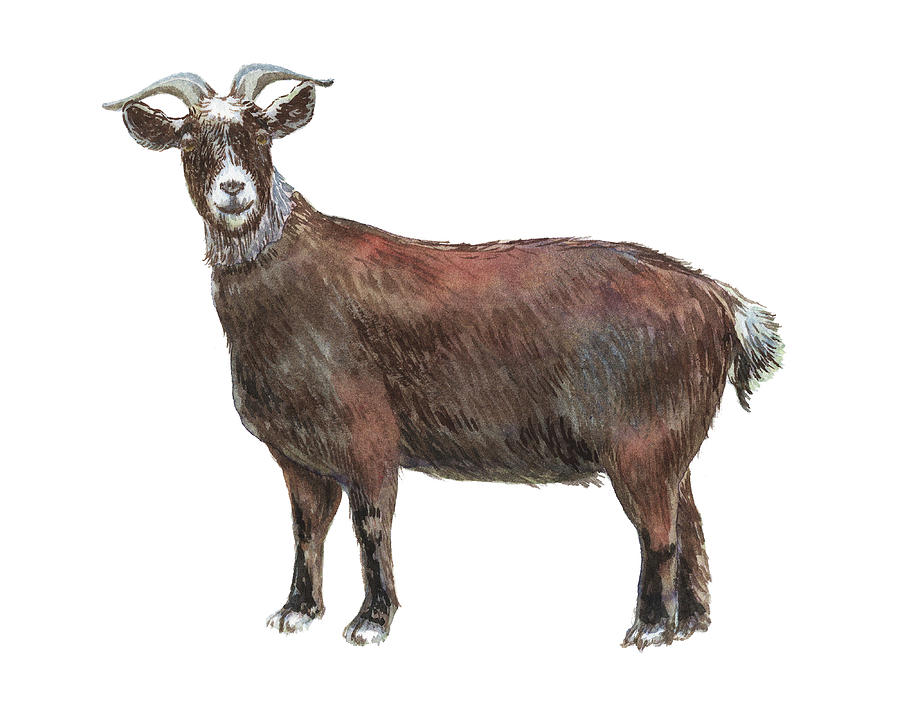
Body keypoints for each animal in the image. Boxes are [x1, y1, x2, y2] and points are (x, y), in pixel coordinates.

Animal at [104, 65, 783, 649]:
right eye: (190, 140)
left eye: (261, 133)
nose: (233, 190)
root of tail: (721, 301)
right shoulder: (295, 453)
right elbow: (306, 528)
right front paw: (297, 612)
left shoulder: (368, 436)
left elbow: (370, 524)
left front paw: (371, 622)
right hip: (672, 448)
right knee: (689, 524)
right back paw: (689, 626)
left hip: (641, 445)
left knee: (658, 532)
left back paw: (648, 629)